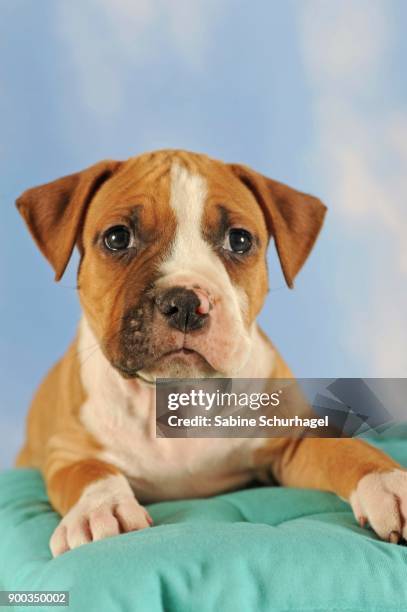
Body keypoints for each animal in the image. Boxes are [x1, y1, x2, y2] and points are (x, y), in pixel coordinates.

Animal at [15, 149, 407, 556]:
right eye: (117, 237)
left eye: (239, 240)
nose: (187, 303)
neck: (178, 395)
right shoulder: (66, 452)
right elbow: (90, 471)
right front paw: (101, 509)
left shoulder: (296, 436)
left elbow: (346, 448)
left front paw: (387, 482)